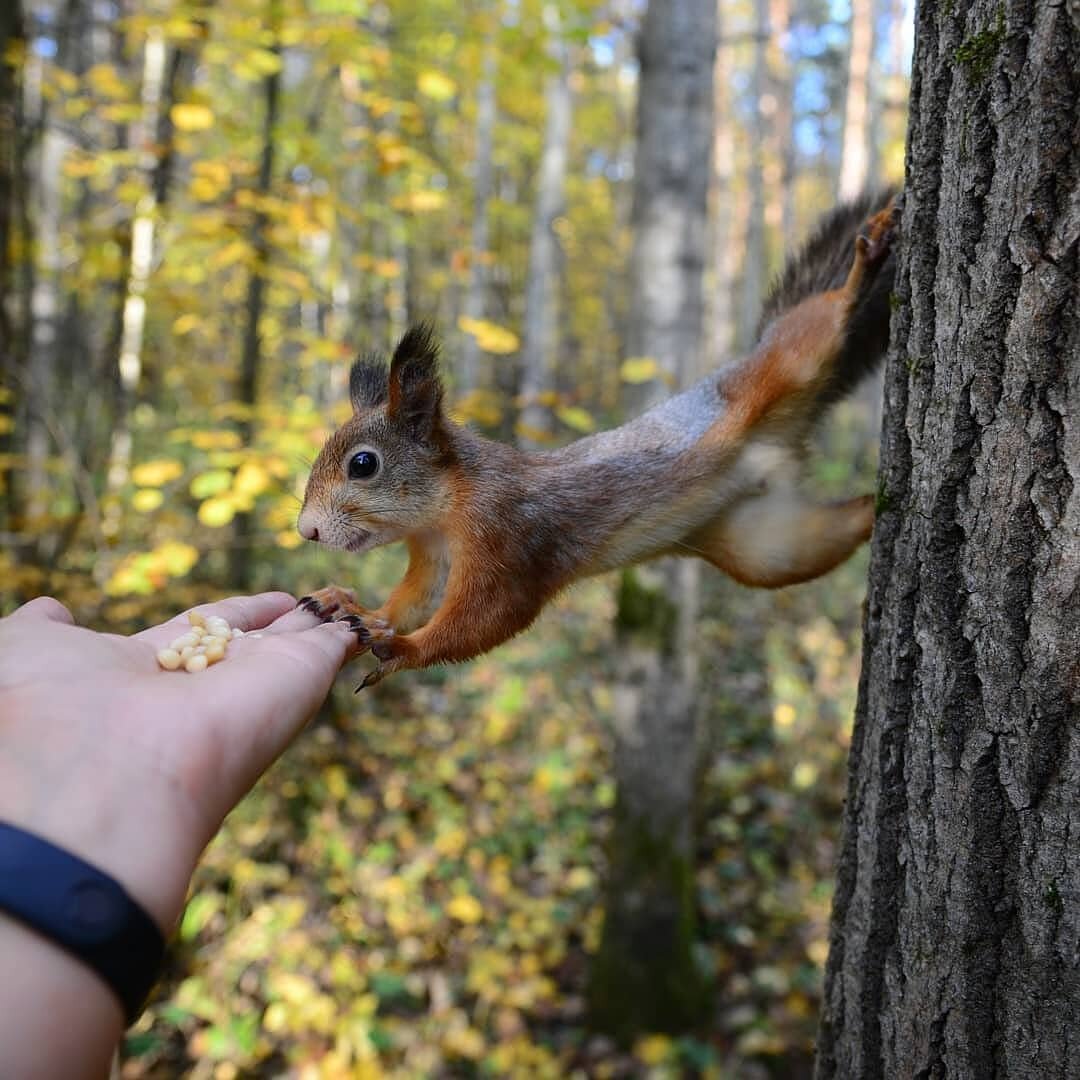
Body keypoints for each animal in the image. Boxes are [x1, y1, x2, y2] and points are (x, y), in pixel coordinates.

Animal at [295, 190, 894, 686]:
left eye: (363, 464)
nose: (307, 532)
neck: (447, 508)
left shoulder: (508, 538)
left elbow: (487, 617)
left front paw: (404, 650)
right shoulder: (431, 552)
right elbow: (415, 600)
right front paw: (348, 606)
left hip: (787, 363)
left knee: (820, 325)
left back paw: (863, 265)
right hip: (757, 543)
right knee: (812, 539)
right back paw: (876, 508)